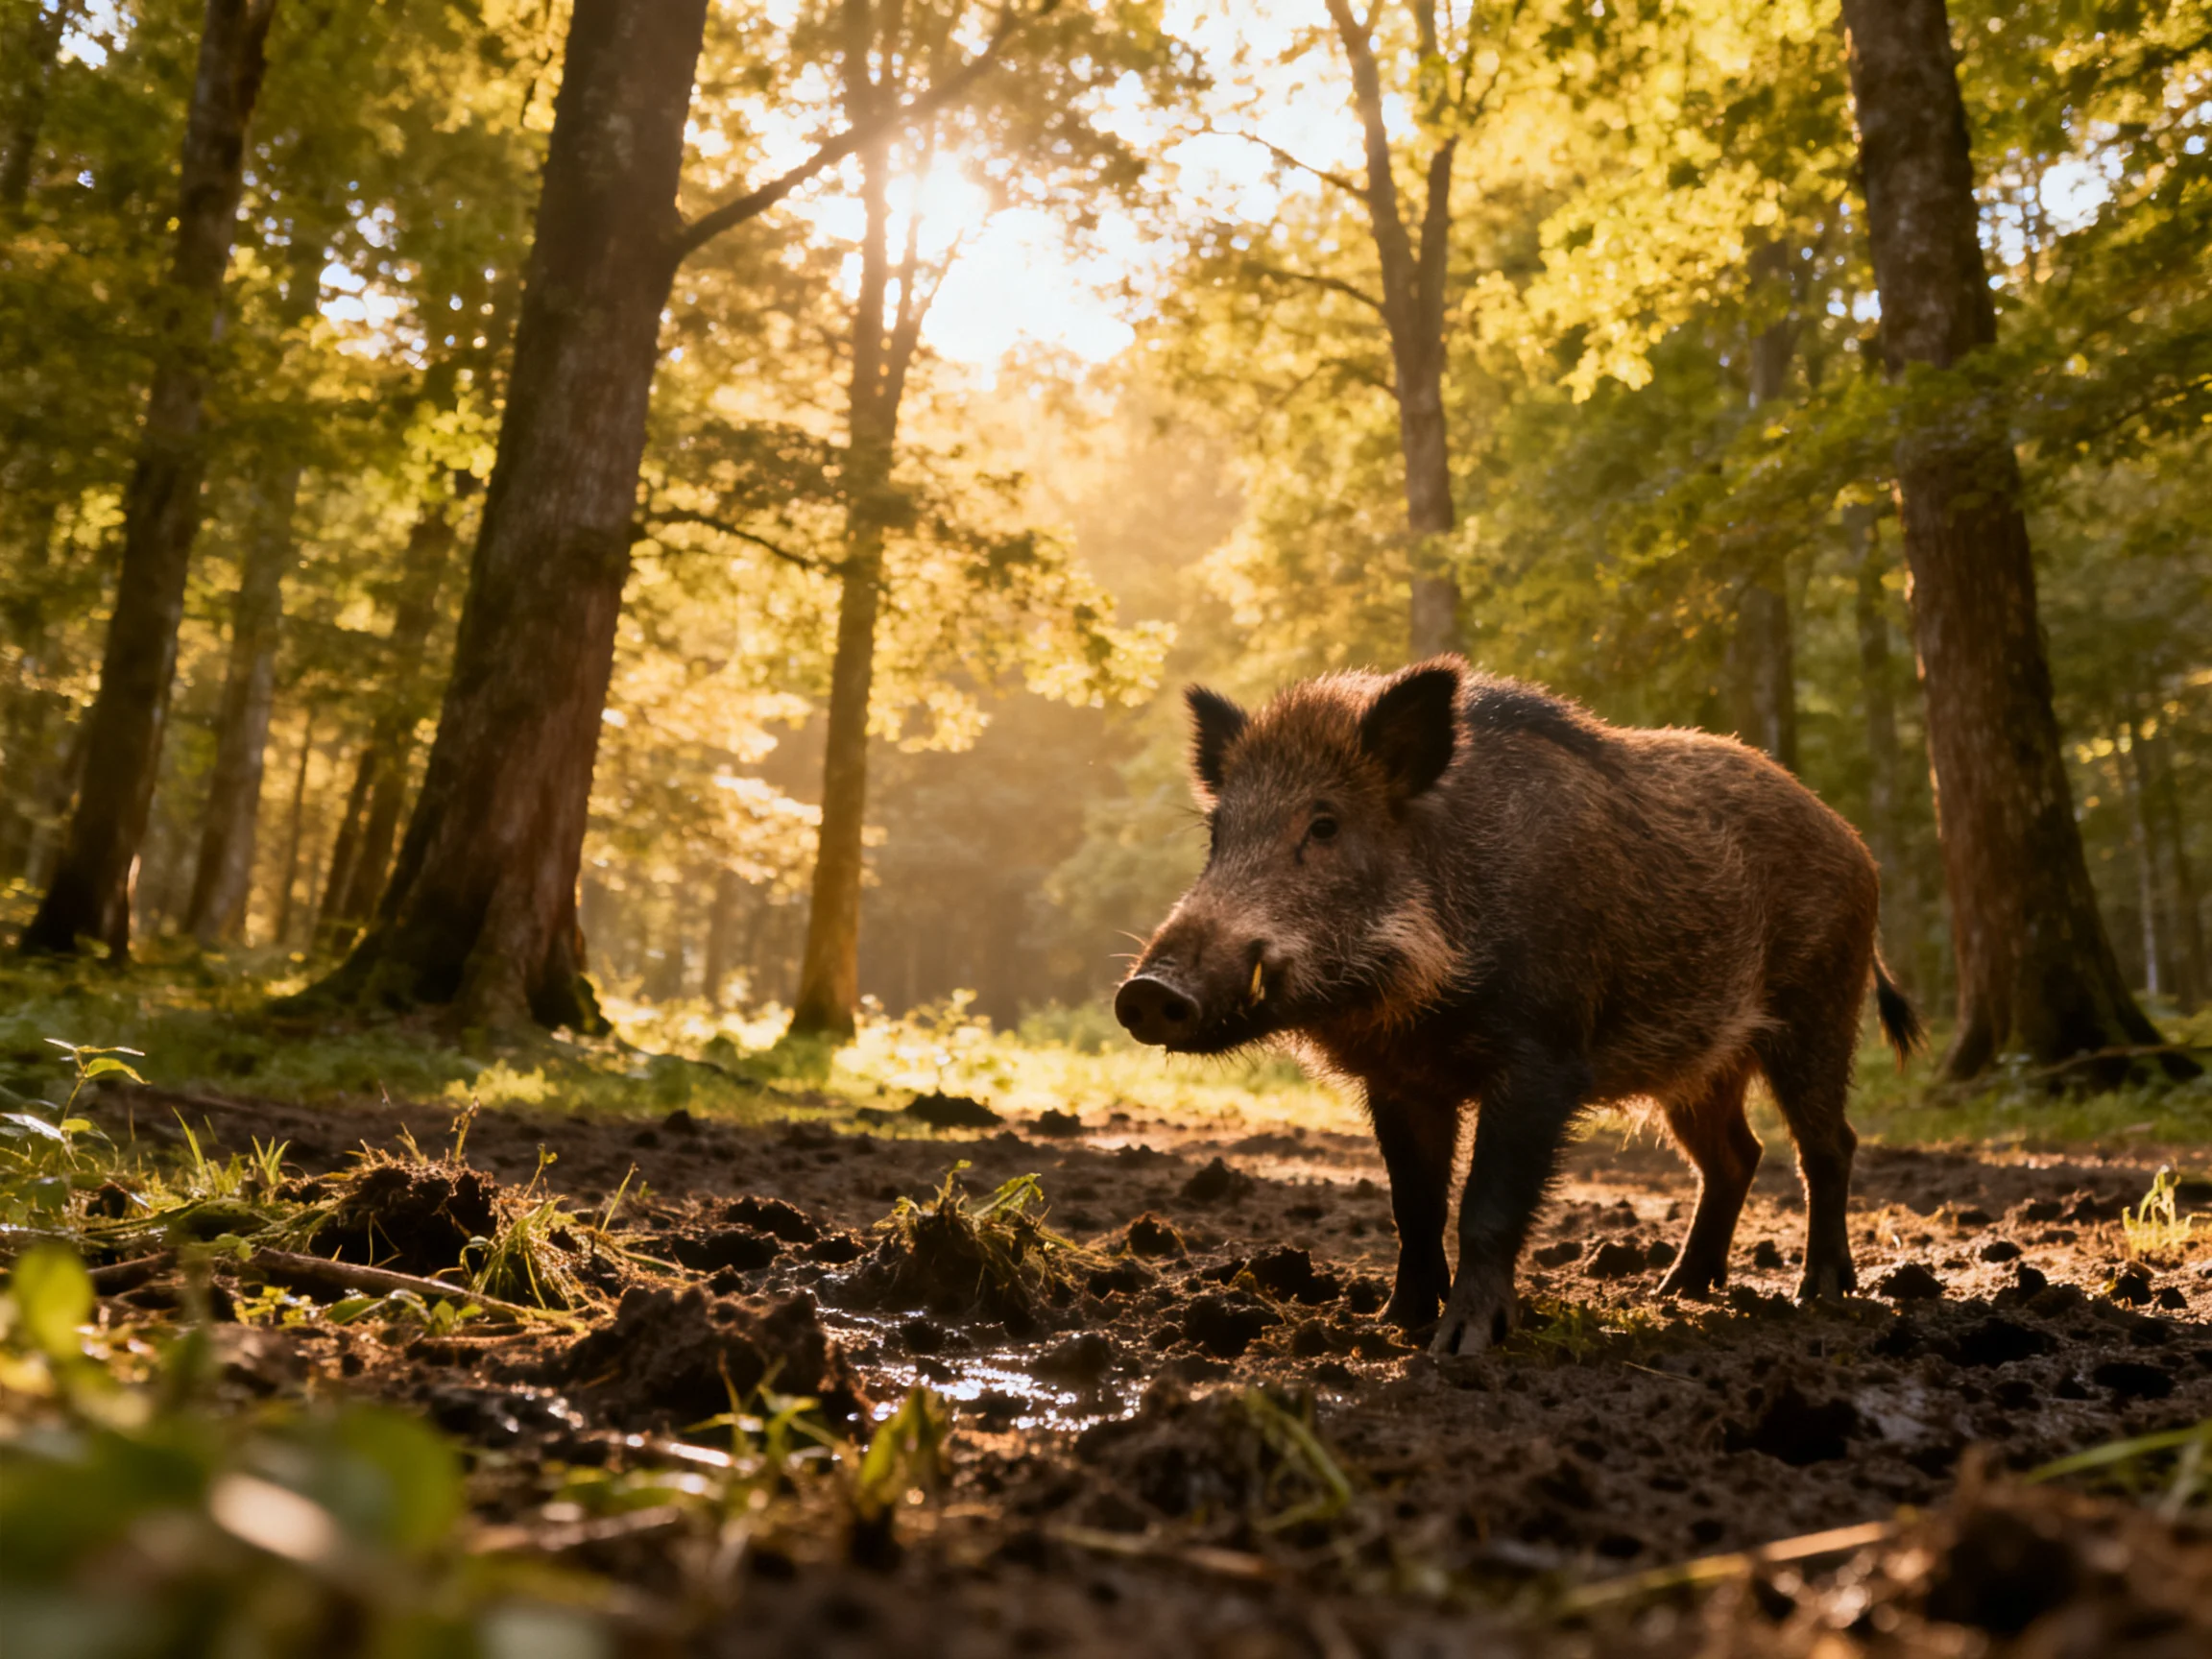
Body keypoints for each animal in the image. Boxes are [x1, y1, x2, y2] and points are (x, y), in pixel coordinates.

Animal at [1115, 656, 1922, 1356]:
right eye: (1218, 835)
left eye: (1325, 825)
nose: (1146, 992)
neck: (1415, 1008)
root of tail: (1857, 847)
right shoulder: (1400, 1083)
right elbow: (1413, 1205)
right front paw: (1393, 1324)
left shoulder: (1543, 1057)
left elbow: (1487, 1204)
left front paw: (1461, 1346)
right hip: (1701, 1063)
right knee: (1736, 1155)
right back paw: (1676, 1292)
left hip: (1819, 1006)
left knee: (1828, 1144)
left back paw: (1818, 1294)